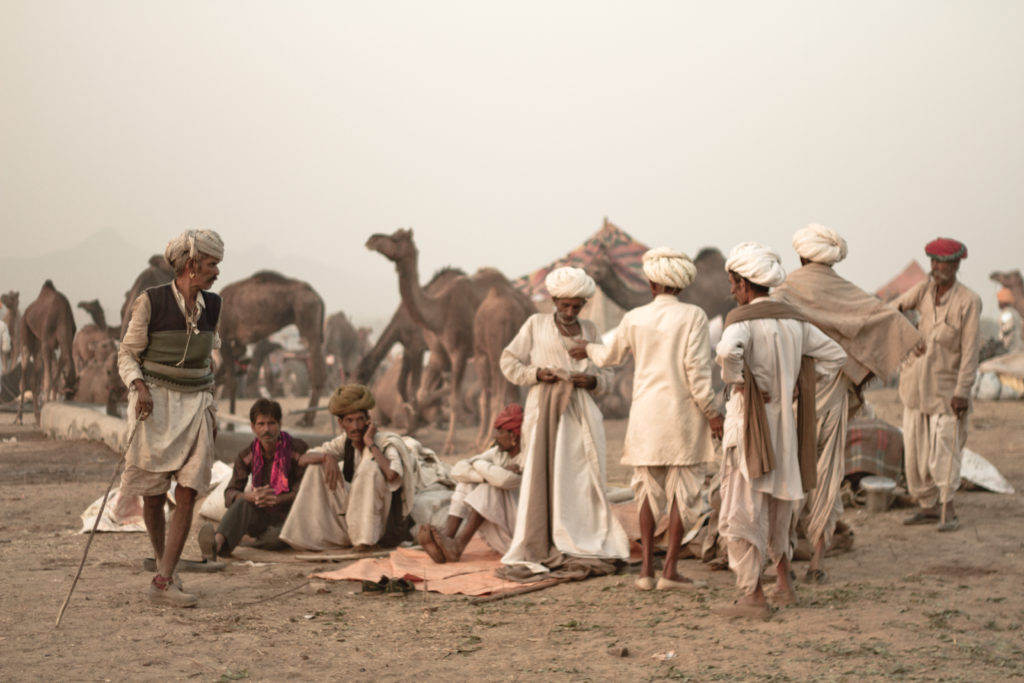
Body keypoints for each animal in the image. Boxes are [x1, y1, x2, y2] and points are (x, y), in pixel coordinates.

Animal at [15, 280, 76, 423]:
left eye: (73, 392)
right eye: (67, 392)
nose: (69, 400)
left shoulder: (64, 346)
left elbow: (55, 378)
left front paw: (51, 405)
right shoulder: (47, 344)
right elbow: (48, 379)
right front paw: (47, 404)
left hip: (37, 342)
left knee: (34, 379)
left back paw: (37, 418)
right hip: (25, 331)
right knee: (23, 379)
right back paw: (19, 418)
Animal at [218, 272, 325, 428]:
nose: (278, 346)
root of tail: (317, 297)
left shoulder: (224, 337)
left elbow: (231, 381)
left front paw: (230, 423)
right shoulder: (238, 345)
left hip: (308, 320)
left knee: (317, 372)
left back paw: (306, 420)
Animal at [366, 229, 481, 454]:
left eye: (396, 238)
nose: (372, 240)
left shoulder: (440, 350)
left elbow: (437, 393)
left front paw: (448, 442)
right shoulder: (432, 352)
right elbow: (417, 391)